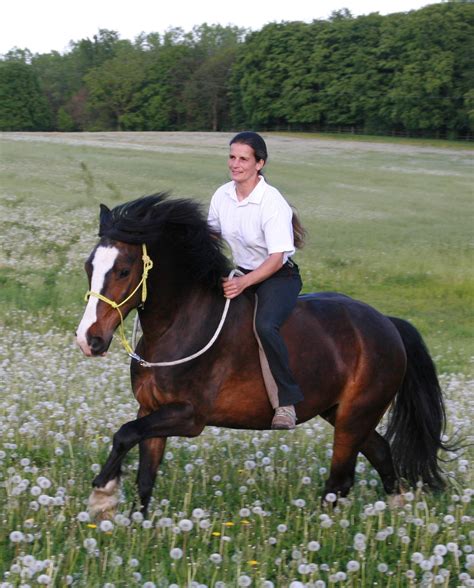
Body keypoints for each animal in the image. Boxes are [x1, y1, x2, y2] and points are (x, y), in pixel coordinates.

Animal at [76, 194, 450, 520]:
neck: (180, 325)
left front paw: (102, 496)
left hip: (355, 416)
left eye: (123, 270)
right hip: (343, 413)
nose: (89, 340)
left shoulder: (190, 416)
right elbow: (144, 476)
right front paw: (133, 523)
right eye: (89, 266)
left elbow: (124, 434)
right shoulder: (151, 410)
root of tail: (388, 324)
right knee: (381, 454)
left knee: (340, 480)